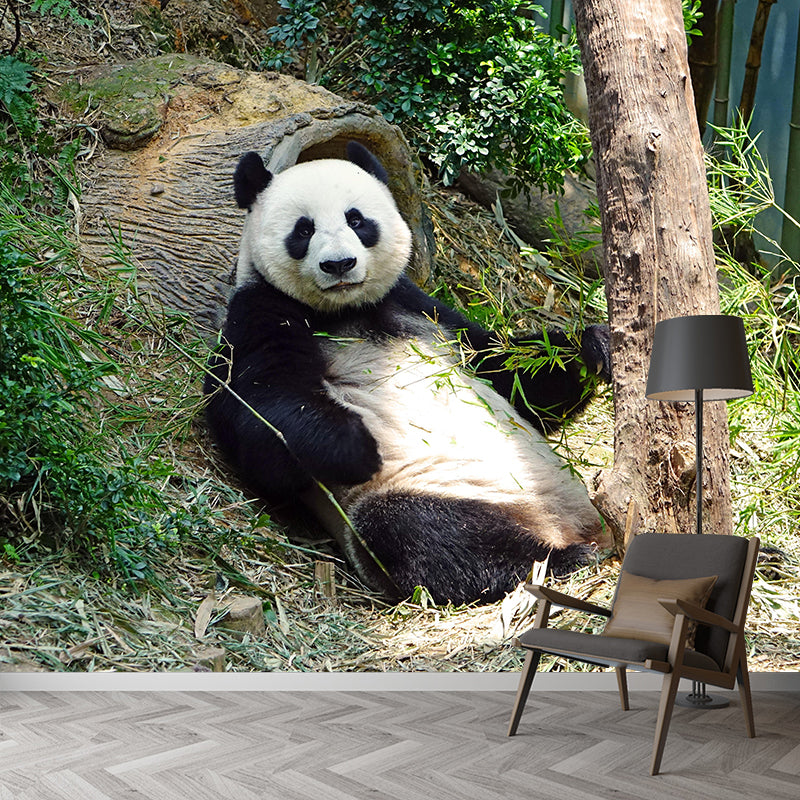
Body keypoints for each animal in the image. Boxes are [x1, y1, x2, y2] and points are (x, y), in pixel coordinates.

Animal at [204, 141, 612, 606]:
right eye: (303, 230)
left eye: (357, 220)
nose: (339, 264)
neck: (345, 311)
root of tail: (558, 523)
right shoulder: (260, 312)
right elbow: (256, 414)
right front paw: (354, 446)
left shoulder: (422, 308)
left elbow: (510, 374)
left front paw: (595, 346)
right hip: (433, 489)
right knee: (425, 533)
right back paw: (559, 559)